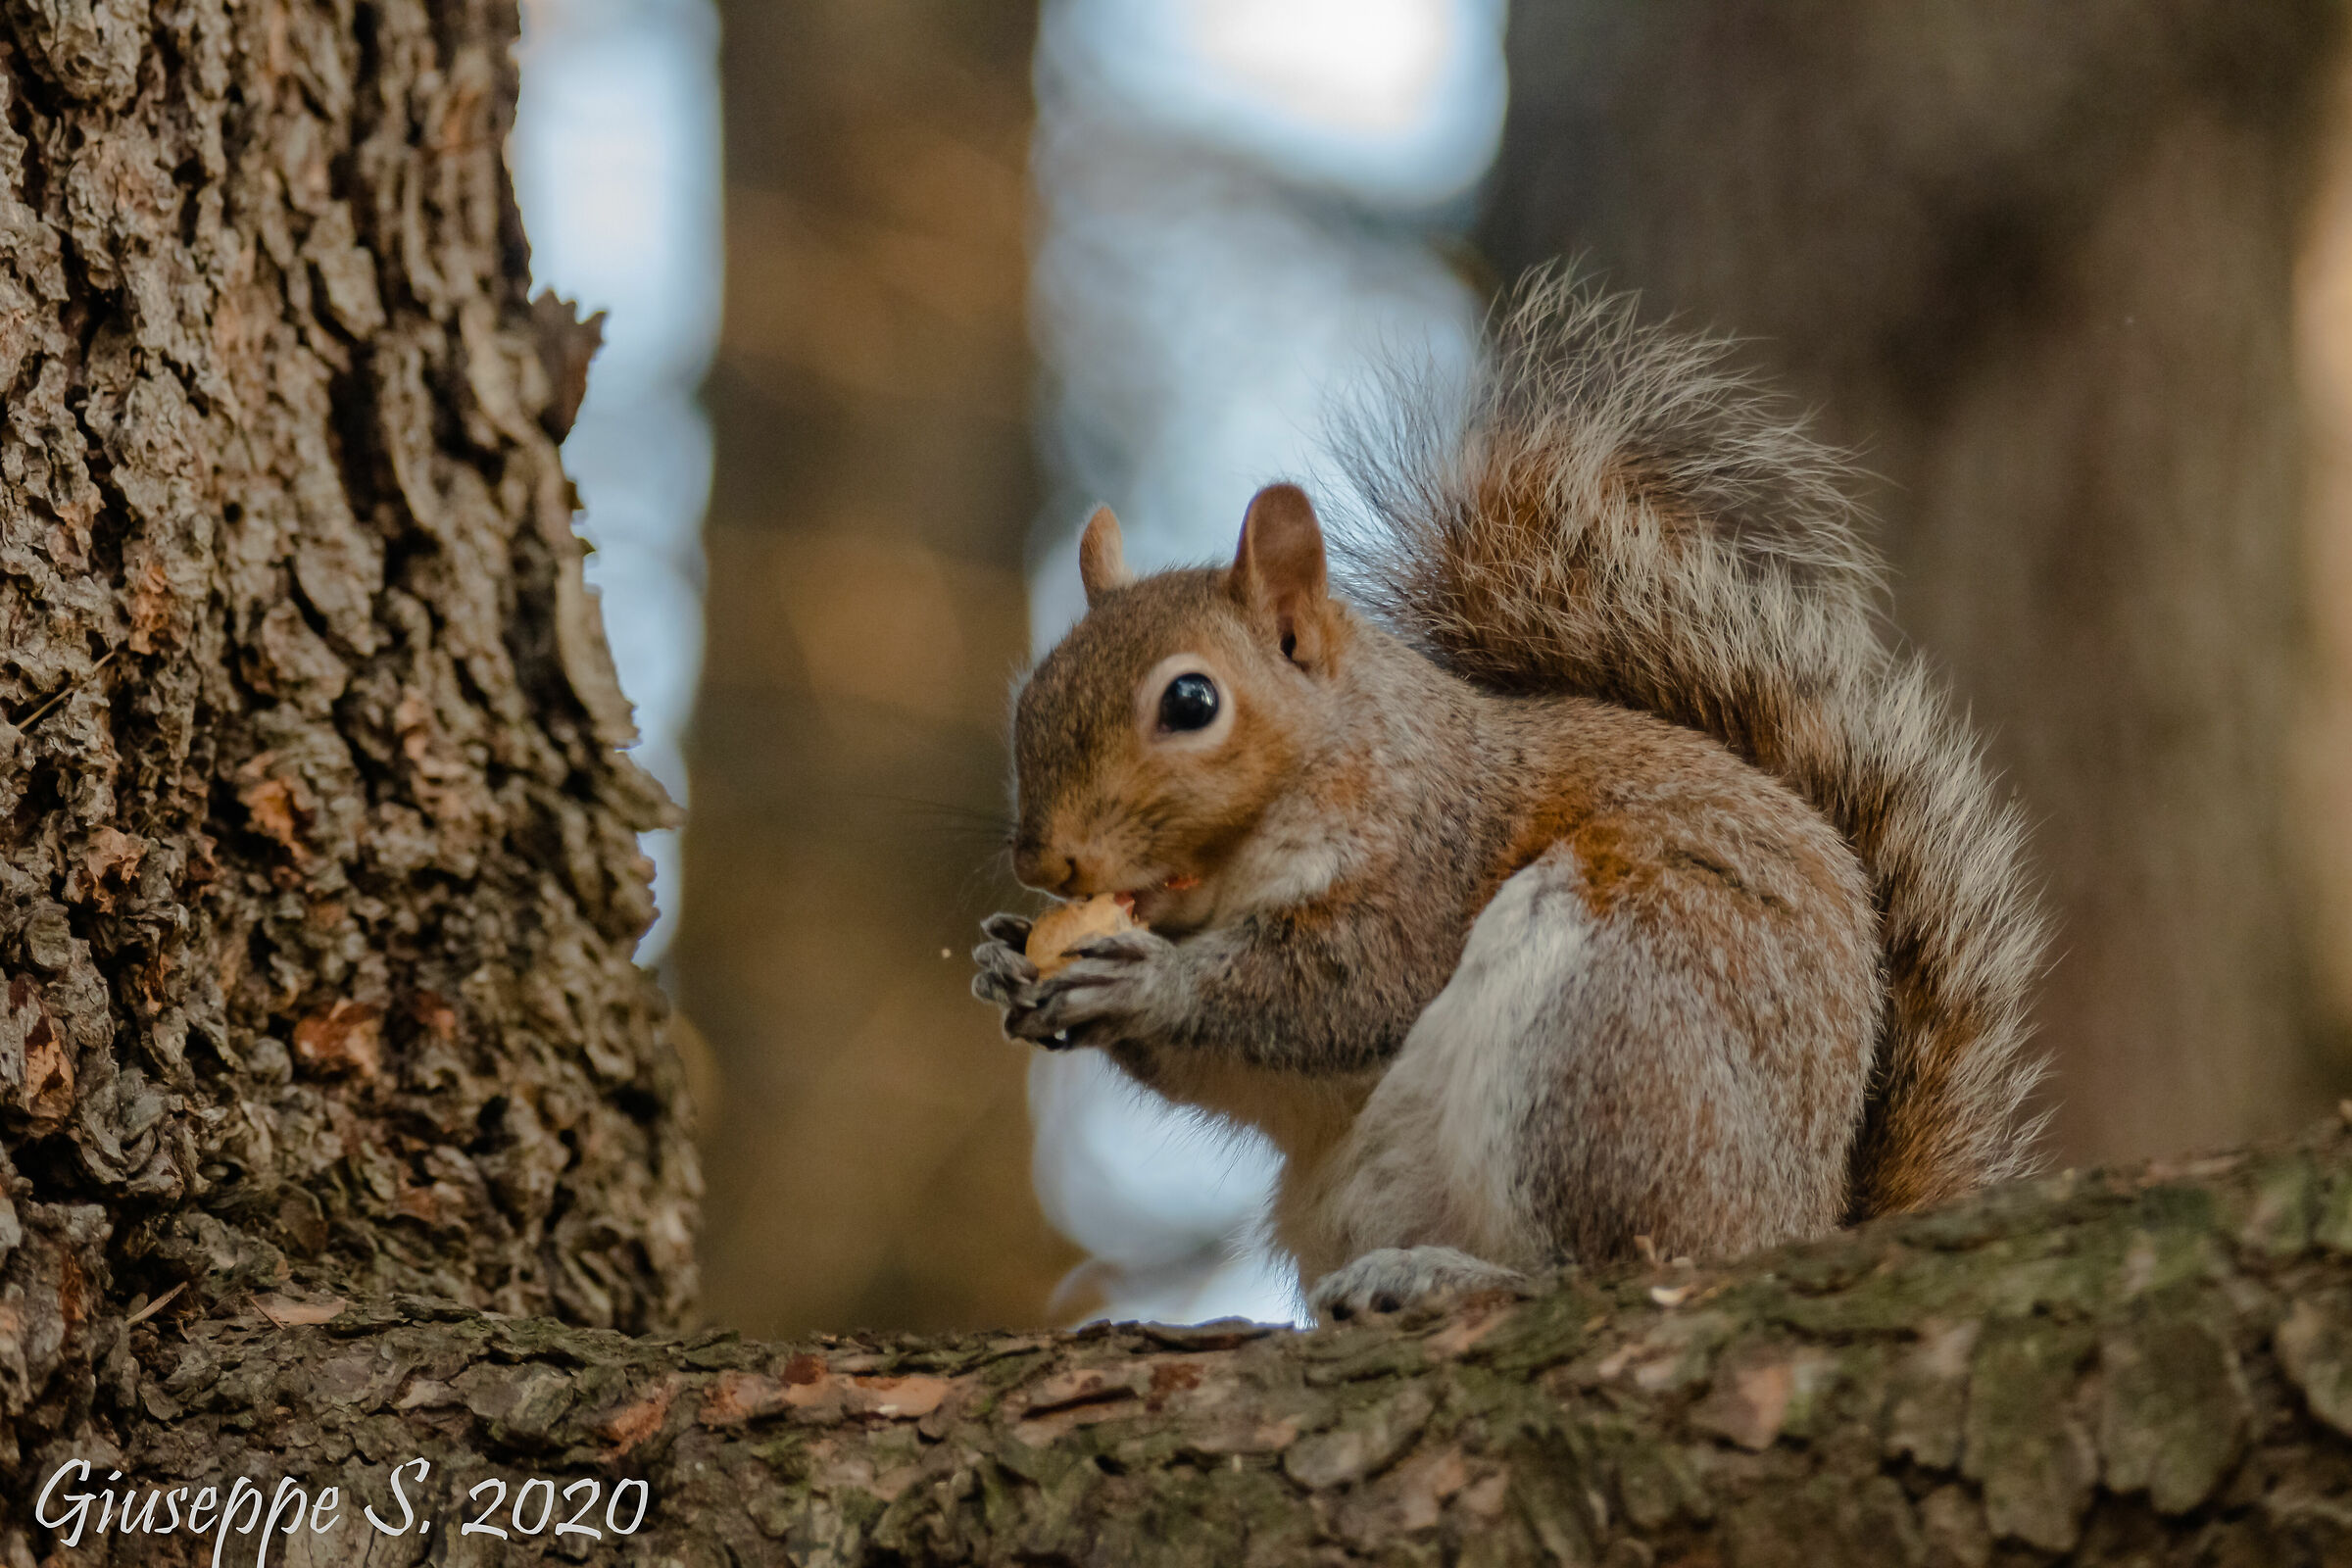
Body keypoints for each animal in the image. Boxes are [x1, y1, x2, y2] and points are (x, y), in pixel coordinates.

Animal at [973, 275, 2048, 1322]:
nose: (1044, 859)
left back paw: (1449, 1279)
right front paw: (1005, 959)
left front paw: (1146, 982)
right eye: (1029, 690)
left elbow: (1343, 991)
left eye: (1192, 702)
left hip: (1610, 1034)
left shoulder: (1427, 863)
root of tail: (1798, 1222)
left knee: (1608, 1267)